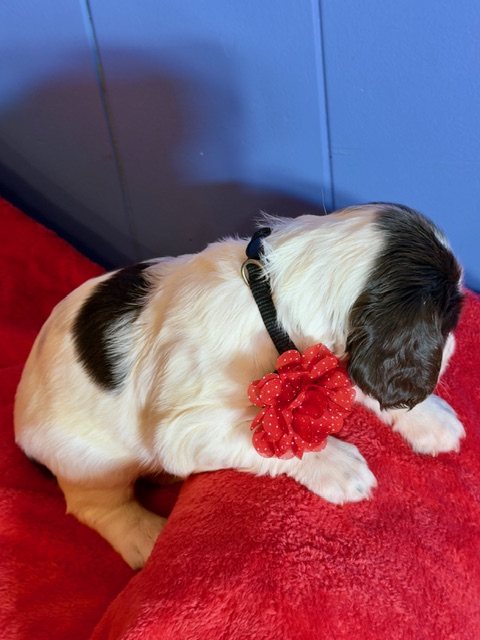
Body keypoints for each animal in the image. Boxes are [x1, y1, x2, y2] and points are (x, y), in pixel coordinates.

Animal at [14, 202, 465, 569]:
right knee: (97, 505)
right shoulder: (185, 428)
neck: (270, 299)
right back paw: (146, 536)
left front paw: (430, 419)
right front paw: (335, 464)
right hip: (86, 459)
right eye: (448, 321)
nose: (453, 349)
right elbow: (266, 439)